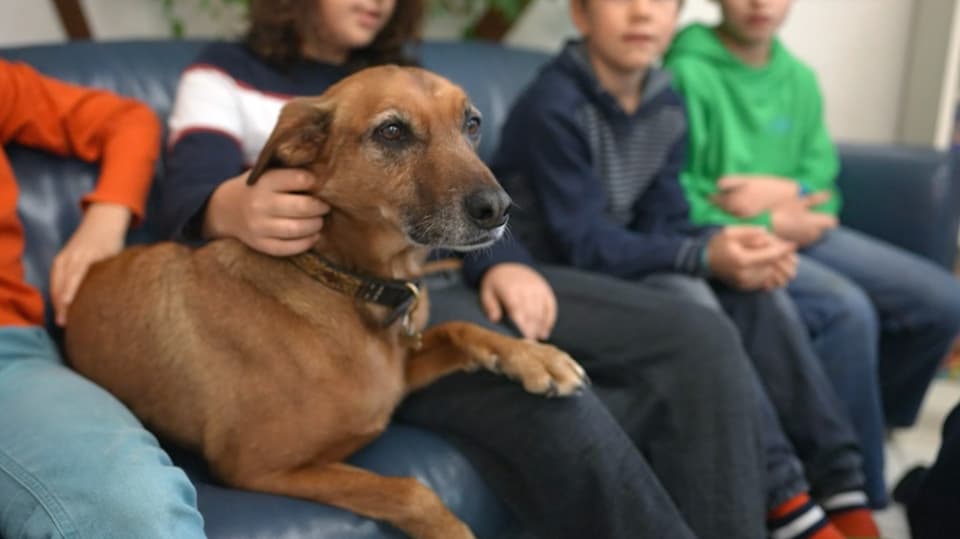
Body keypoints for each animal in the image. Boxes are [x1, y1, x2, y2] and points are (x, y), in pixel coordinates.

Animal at [65, 65, 584, 536]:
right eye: (392, 131)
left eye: (472, 123)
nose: (499, 209)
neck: (343, 281)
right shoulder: (259, 467)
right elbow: (409, 490)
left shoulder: (399, 373)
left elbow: (462, 329)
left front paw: (535, 358)